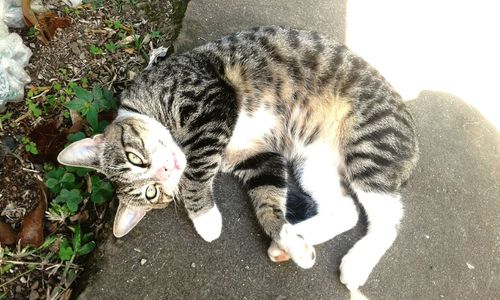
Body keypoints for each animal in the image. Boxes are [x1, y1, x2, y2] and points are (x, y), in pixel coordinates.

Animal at [57, 26, 418, 292]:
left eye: (135, 158)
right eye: (151, 191)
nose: (166, 168)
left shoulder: (211, 100)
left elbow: (197, 170)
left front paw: (205, 219)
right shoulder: (258, 157)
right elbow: (268, 202)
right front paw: (285, 237)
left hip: (369, 143)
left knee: (387, 219)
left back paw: (357, 262)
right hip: (312, 161)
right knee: (346, 211)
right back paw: (293, 241)